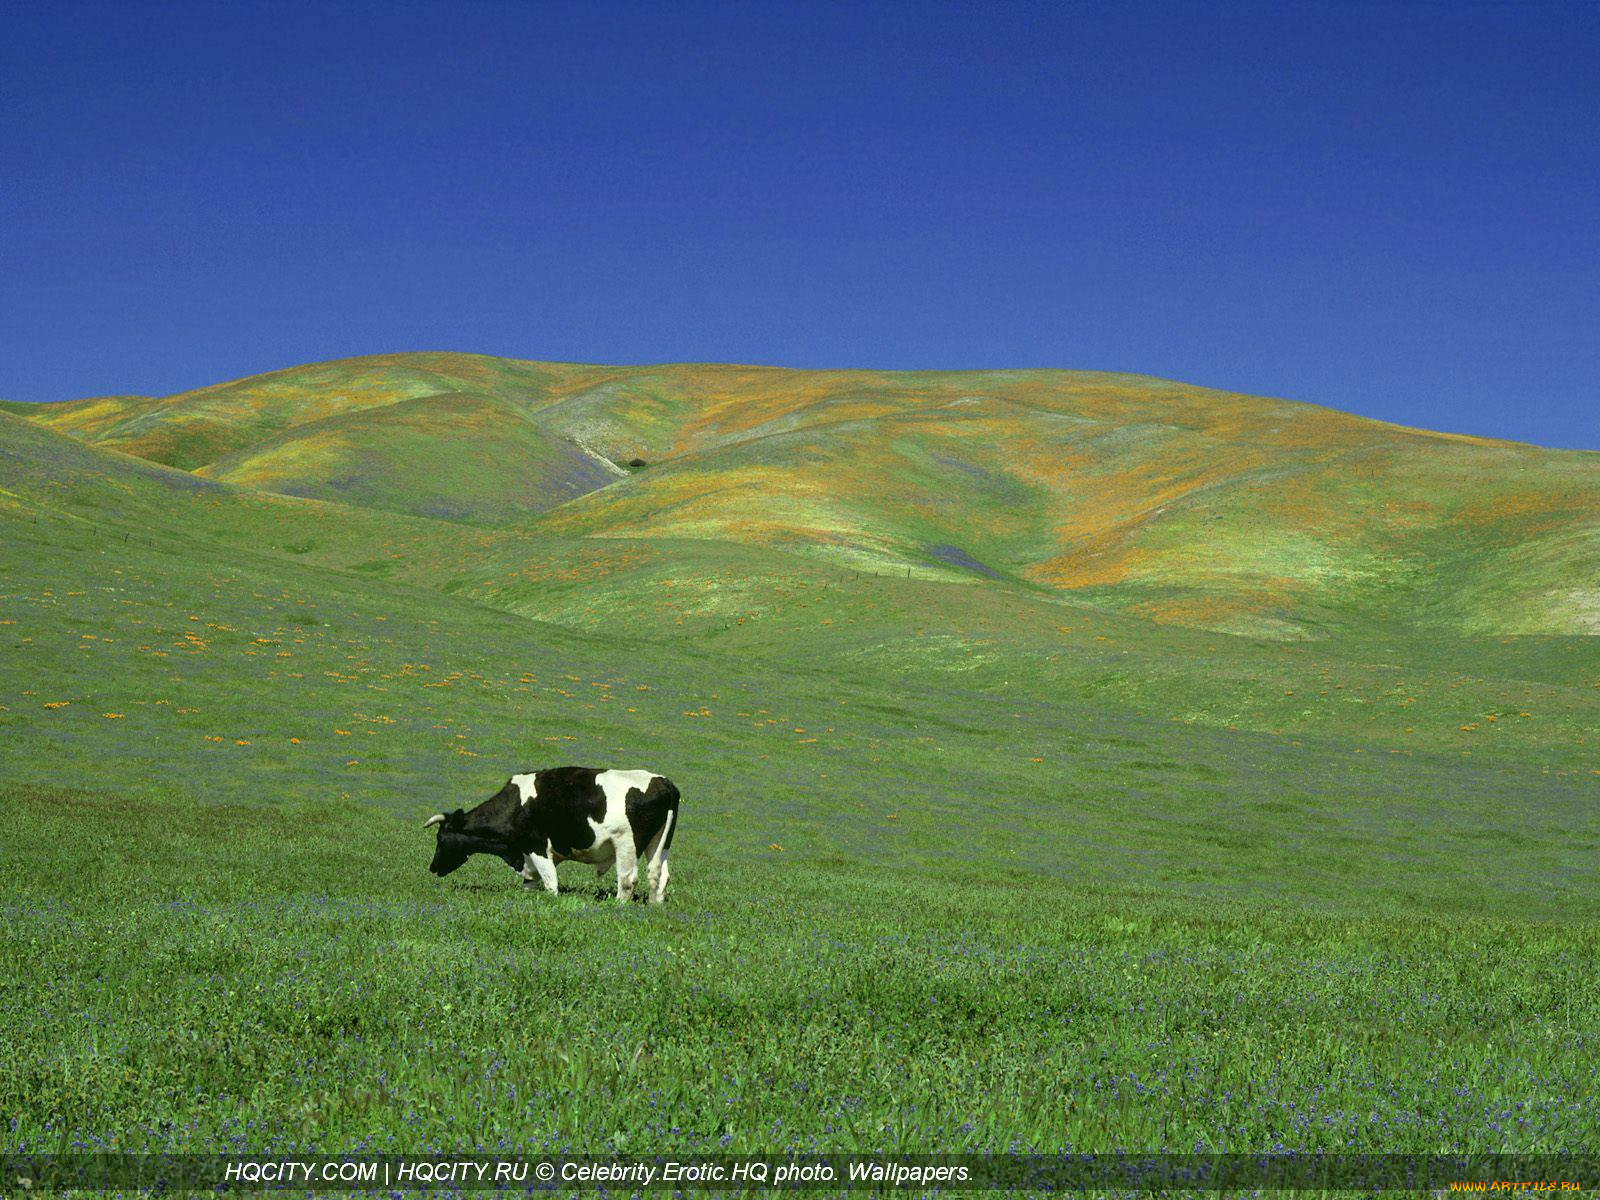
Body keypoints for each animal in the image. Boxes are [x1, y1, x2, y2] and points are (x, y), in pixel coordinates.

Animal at [422, 771, 678, 902]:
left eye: (440, 839)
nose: (432, 868)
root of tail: (664, 782)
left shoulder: (536, 846)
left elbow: (550, 882)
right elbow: (530, 883)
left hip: (627, 844)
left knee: (627, 879)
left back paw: (618, 906)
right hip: (659, 844)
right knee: (659, 876)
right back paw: (654, 905)